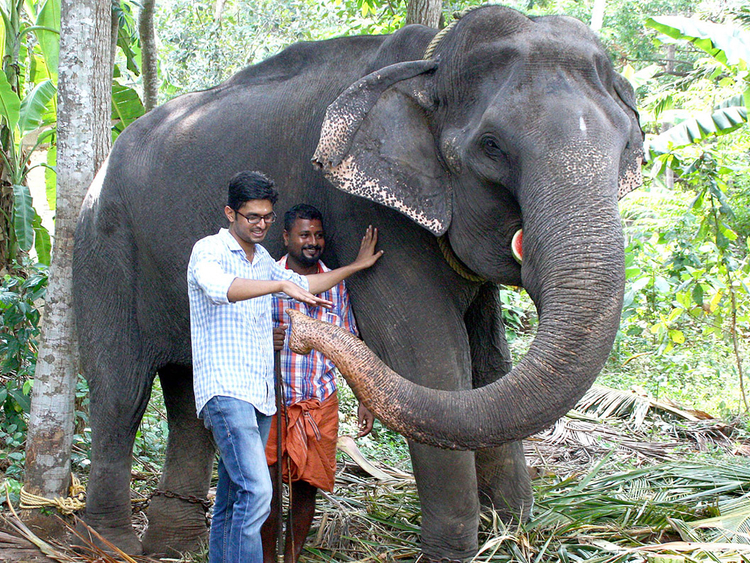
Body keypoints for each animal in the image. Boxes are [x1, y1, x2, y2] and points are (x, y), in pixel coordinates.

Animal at [73, 5, 644, 563]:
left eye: (626, 147)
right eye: (492, 146)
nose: (298, 332)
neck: (431, 61)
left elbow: (490, 359)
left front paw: (515, 530)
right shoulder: (365, 214)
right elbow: (429, 359)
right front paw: (454, 553)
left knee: (190, 395)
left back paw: (172, 546)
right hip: (103, 248)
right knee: (119, 395)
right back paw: (111, 544)